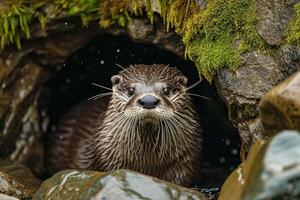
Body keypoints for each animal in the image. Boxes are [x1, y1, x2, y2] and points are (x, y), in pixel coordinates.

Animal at [47, 64, 202, 186]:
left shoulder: (185, 160)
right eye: (131, 91)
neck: (147, 162)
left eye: (166, 90)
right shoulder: (108, 158)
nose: (148, 101)